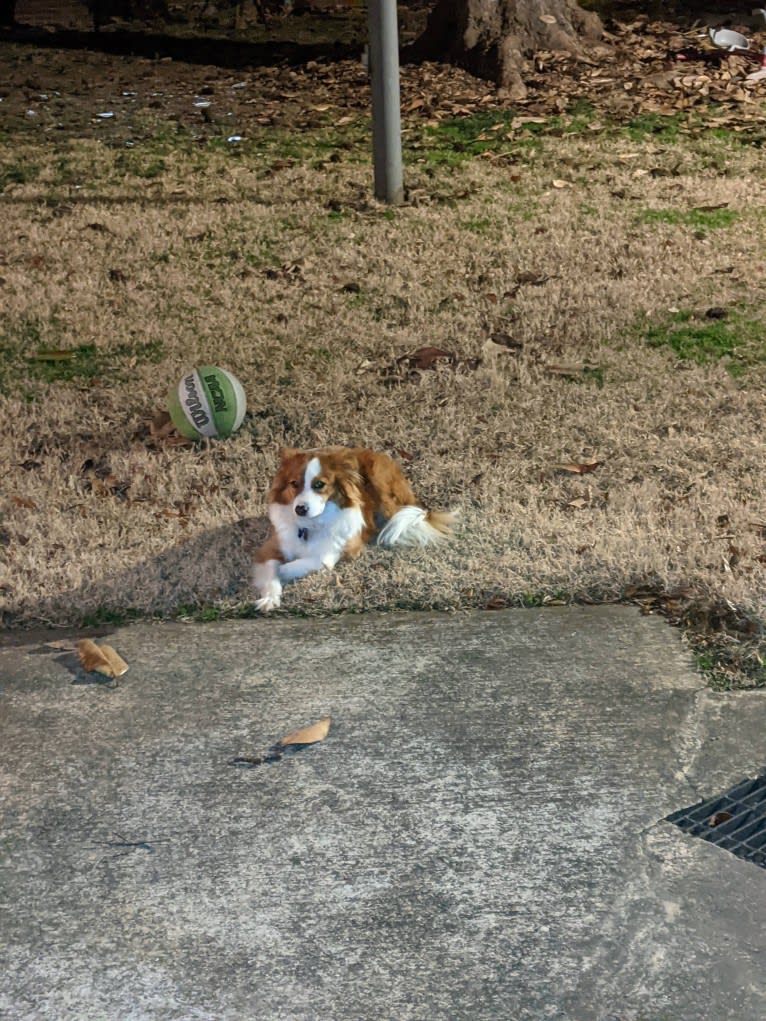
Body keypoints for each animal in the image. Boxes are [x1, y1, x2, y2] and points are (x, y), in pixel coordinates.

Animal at [255, 445, 455, 604]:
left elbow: (299, 564)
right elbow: (271, 569)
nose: (300, 509)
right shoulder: (271, 547)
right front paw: (269, 599)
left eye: (319, 484)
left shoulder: (335, 551)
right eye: (294, 484)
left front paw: (283, 571)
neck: (310, 526)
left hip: (383, 489)